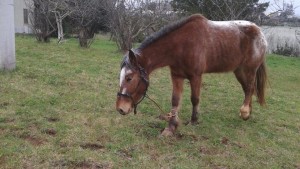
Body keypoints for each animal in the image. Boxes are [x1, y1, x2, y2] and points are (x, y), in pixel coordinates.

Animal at [115, 14, 268, 136]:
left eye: (129, 78)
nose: (120, 108)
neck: (182, 44)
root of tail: (259, 32)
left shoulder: (196, 76)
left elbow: (195, 99)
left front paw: (194, 121)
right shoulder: (176, 76)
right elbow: (175, 100)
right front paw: (171, 127)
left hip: (250, 69)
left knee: (249, 88)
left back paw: (245, 112)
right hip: (239, 71)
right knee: (248, 89)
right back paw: (248, 112)